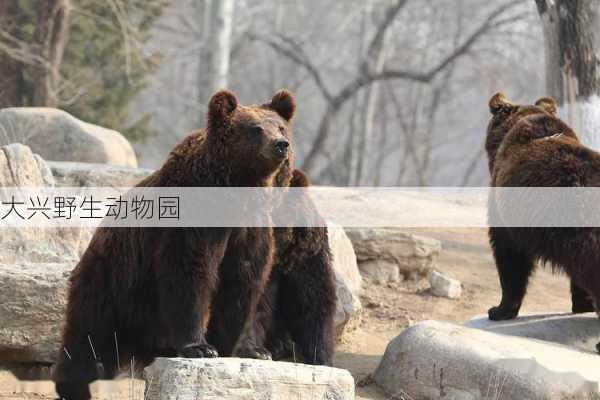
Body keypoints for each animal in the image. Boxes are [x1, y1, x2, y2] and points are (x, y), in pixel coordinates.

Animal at [52, 89, 298, 398]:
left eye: (280, 126)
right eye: (255, 129)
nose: (281, 145)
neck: (237, 190)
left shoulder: (252, 228)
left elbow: (246, 280)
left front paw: (251, 348)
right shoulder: (193, 223)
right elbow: (189, 272)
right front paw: (200, 347)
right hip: (114, 279)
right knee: (90, 329)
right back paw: (76, 382)